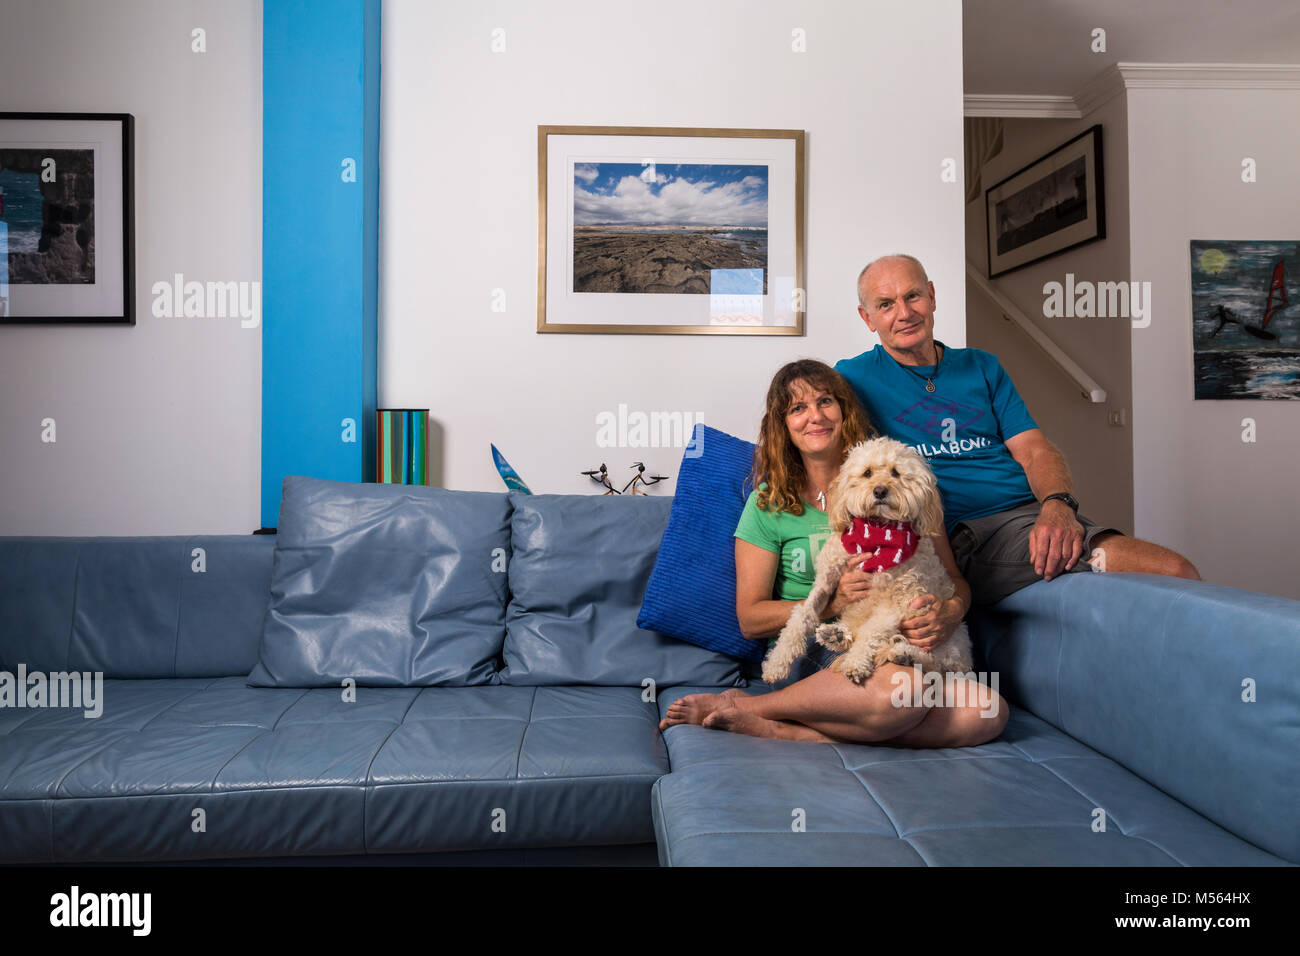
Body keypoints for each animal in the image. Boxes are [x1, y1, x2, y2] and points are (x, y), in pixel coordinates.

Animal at [764, 442, 972, 686]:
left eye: (895, 473)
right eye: (867, 473)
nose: (880, 491)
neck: (875, 535)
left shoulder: (894, 606)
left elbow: (871, 633)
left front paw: (856, 663)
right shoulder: (825, 582)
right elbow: (801, 615)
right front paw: (777, 662)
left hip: (951, 640)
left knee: (933, 665)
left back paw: (904, 654)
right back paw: (836, 635)